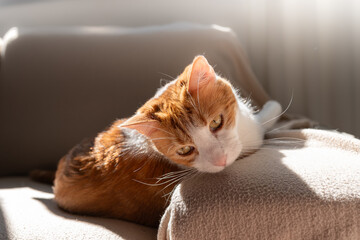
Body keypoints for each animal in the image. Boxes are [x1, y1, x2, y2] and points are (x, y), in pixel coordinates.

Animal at [51, 55, 282, 228]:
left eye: (216, 122)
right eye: (185, 150)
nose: (221, 160)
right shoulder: (253, 137)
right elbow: (268, 117)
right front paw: (272, 108)